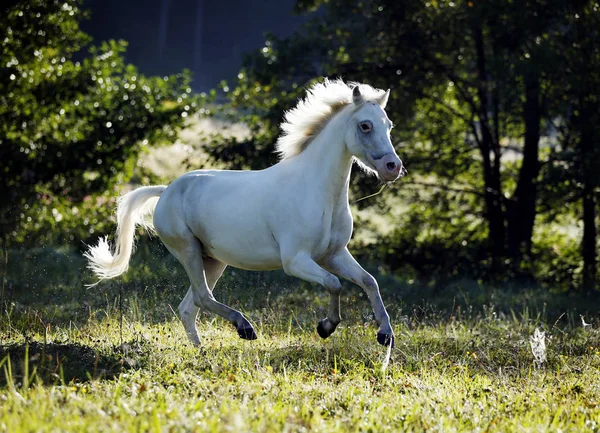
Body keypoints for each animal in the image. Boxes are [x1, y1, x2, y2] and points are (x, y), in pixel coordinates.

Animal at [86, 78, 406, 348]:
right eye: (365, 125)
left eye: (389, 125)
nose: (393, 167)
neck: (318, 191)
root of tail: (166, 190)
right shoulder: (296, 260)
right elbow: (334, 284)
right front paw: (326, 327)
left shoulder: (334, 255)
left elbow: (369, 281)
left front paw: (385, 335)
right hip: (188, 250)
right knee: (202, 297)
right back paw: (245, 328)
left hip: (212, 260)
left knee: (189, 307)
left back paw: (202, 352)